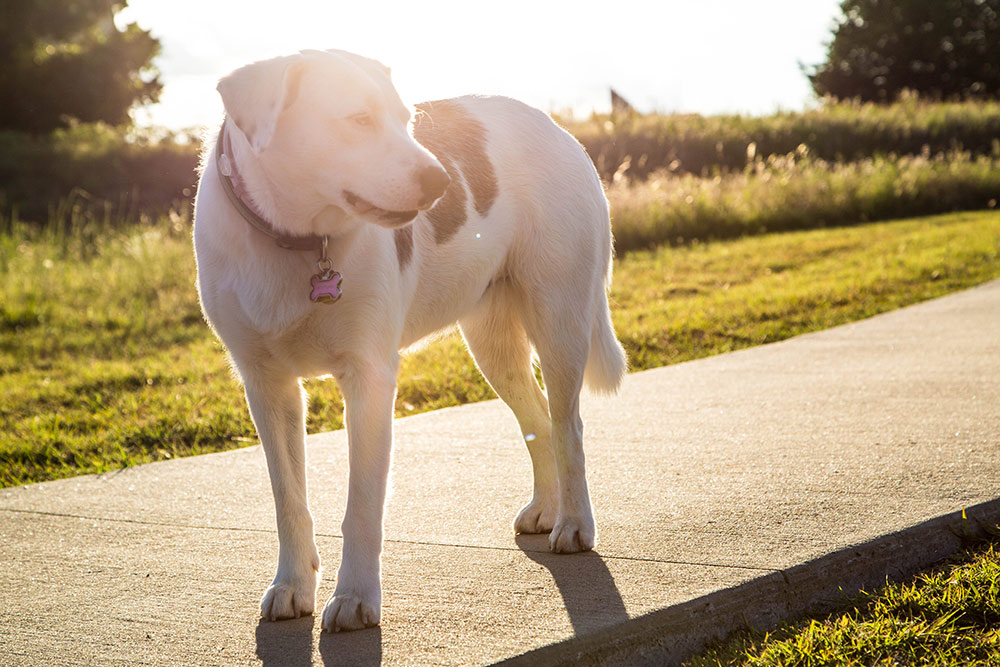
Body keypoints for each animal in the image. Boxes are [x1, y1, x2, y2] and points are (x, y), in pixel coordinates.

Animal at [193, 49, 624, 636]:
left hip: (559, 318)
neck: (297, 240)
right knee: (538, 421)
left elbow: (362, 504)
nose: (440, 180)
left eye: (406, 119)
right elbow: (288, 498)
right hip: (491, 344)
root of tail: (559, 128)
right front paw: (292, 586)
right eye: (358, 119)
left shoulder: (370, 379)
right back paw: (546, 508)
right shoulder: (265, 385)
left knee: (568, 426)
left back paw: (575, 523)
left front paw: (355, 599)